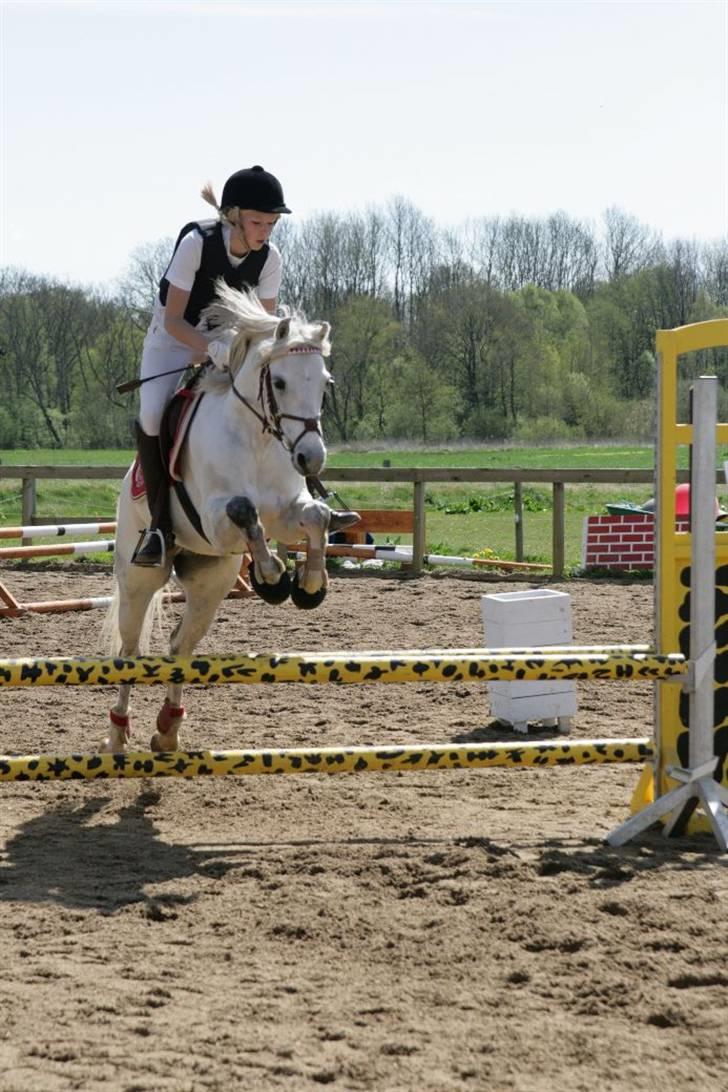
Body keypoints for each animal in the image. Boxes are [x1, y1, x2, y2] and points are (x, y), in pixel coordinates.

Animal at [101, 285, 352, 754]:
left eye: (325, 385)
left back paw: (168, 730)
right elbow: (244, 510)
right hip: (140, 577)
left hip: (210, 580)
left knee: (180, 646)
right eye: (279, 382)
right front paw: (272, 577)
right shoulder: (215, 522)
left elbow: (316, 517)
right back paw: (118, 734)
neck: (258, 438)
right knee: (130, 650)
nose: (311, 458)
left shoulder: (287, 512)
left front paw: (310, 584)